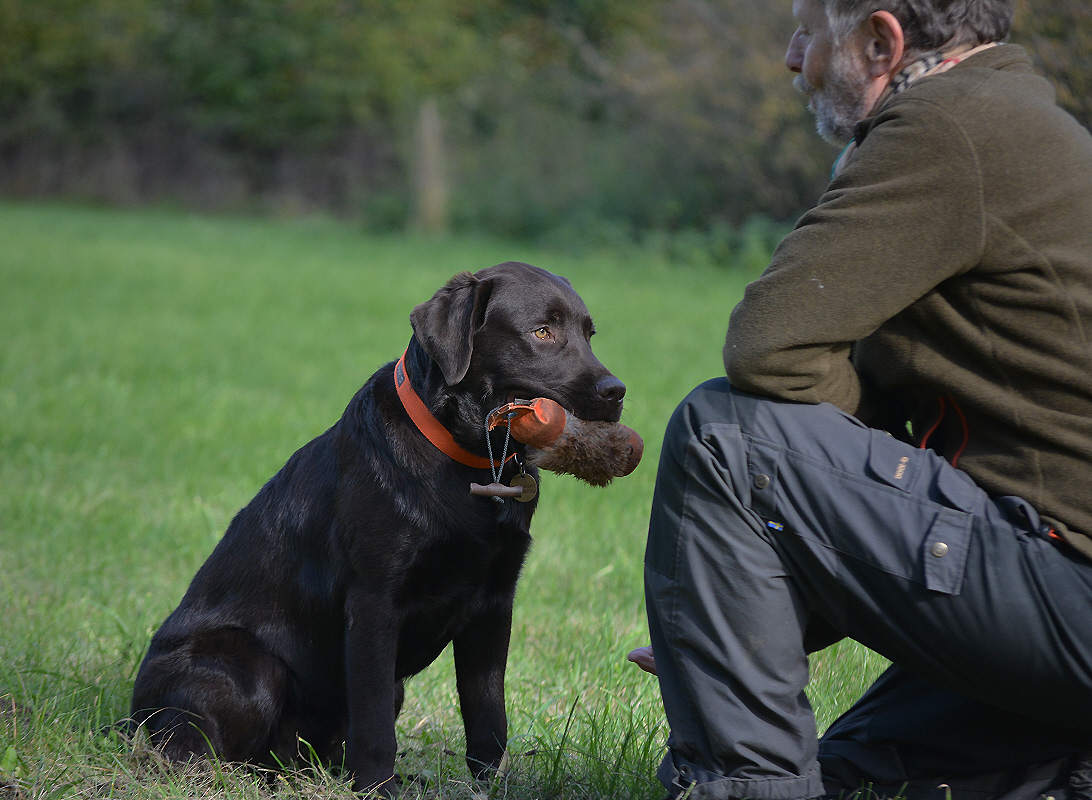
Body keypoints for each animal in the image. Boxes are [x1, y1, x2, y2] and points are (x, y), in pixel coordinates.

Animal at [129, 261, 624, 794]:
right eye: (542, 332)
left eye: (589, 334)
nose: (616, 391)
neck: (468, 465)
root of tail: (128, 718)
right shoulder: (373, 603)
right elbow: (372, 725)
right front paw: (377, 789)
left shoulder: (495, 603)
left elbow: (488, 717)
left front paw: (491, 787)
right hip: (248, 665)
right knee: (196, 747)